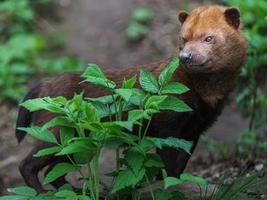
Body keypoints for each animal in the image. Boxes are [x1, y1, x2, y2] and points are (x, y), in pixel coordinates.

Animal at [16, 5, 247, 192]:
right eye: (183, 39)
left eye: (209, 38)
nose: (186, 57)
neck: (205, 97)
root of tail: (43, 84)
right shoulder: (167, 126)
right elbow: (167, 164)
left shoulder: (195, 129)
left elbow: (179, 164)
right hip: (57, 131)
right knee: (27, 165)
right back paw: (42, 192)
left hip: (73, 140)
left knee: (54, 171)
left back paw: (73, 190)